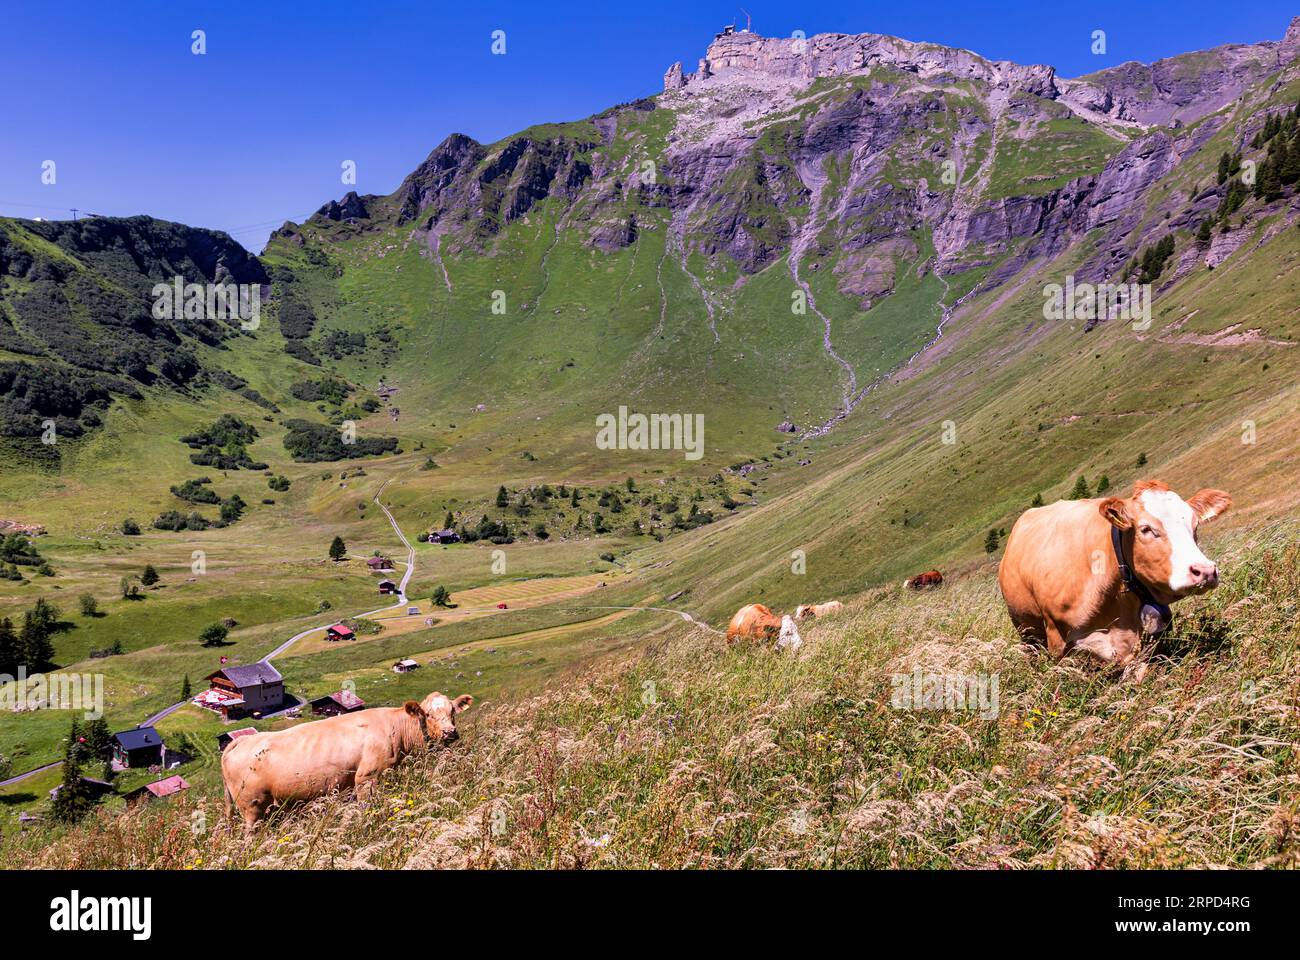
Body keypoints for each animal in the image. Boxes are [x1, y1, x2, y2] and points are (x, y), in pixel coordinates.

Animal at [222, 686, 473, 832]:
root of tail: (241, 741)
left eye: (452, 711)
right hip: (251, 806)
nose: (450, 732)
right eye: (428, 714)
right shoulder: (366, 778)